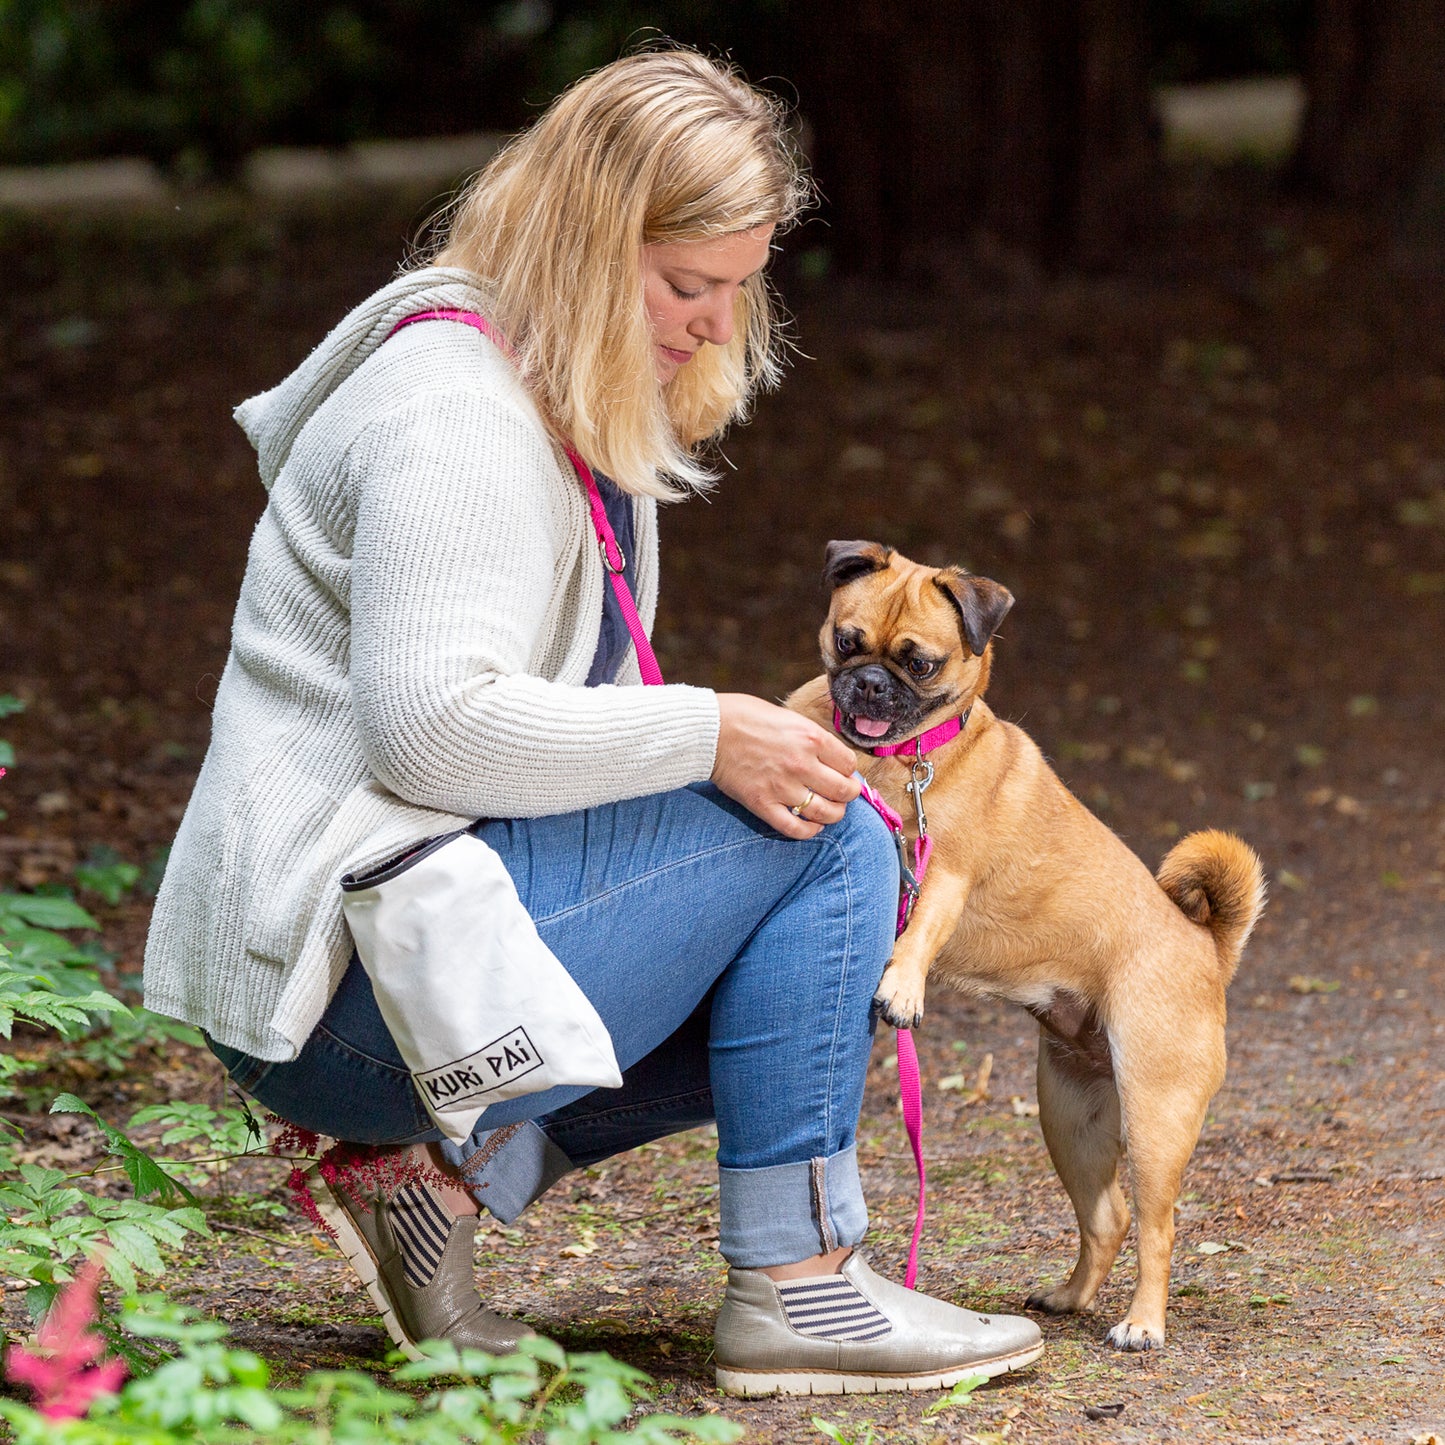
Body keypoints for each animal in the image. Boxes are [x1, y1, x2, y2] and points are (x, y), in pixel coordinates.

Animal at [791, 543, 1265, 1352]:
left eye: (918, 663)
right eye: (846, 641)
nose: (869, 681)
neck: (901, 759)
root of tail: (1206, 949)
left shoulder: (944, 876)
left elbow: (919, 934)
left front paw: (902, 986)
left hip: (1154, 1117)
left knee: (1157, 1226)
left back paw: (1142, 1323)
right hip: (1069, 1119)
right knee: (1106, 1218)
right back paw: (1068, 1298)